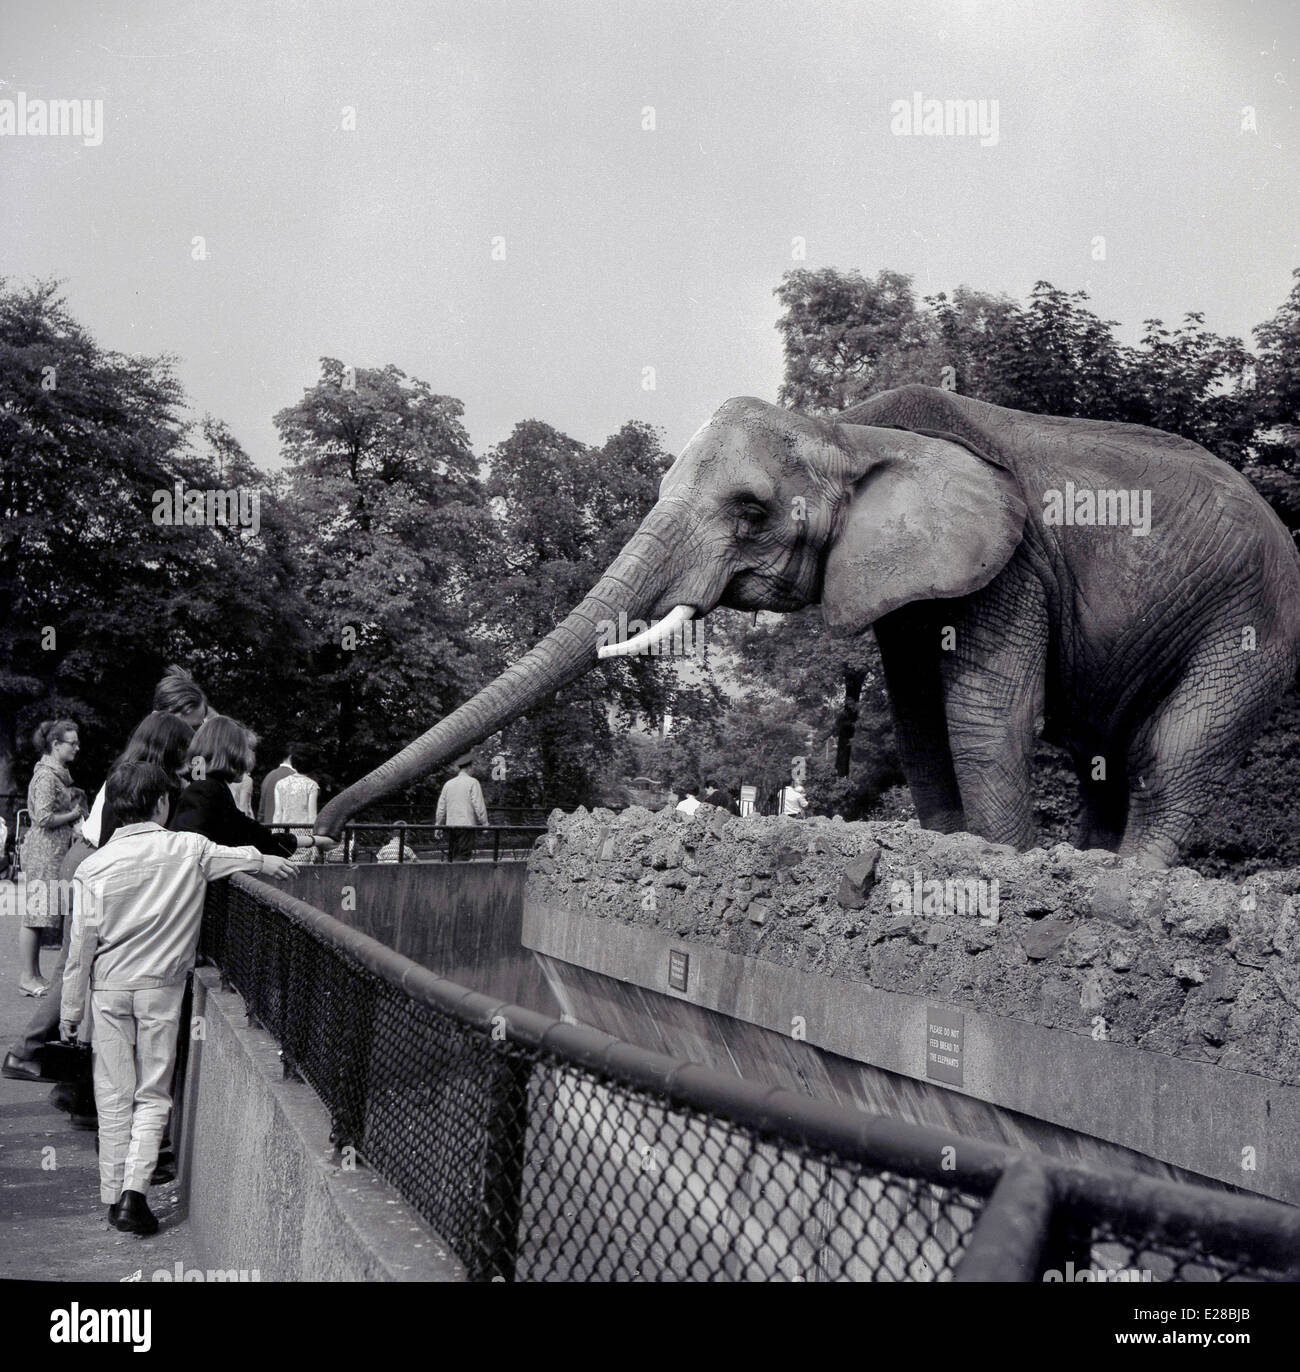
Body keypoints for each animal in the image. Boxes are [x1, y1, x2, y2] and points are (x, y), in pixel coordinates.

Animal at [315, 381, 1300, 867]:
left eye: (751, 510)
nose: (320, 832)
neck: (851, 430)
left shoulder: (1011, 563)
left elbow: (983, 716)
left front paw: (1003, 866)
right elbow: (919, 718)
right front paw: (952, 849)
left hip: (1251, 624)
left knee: (1170, 750)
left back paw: (1133, 882)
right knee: (1106, 757)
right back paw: (1097, 866)